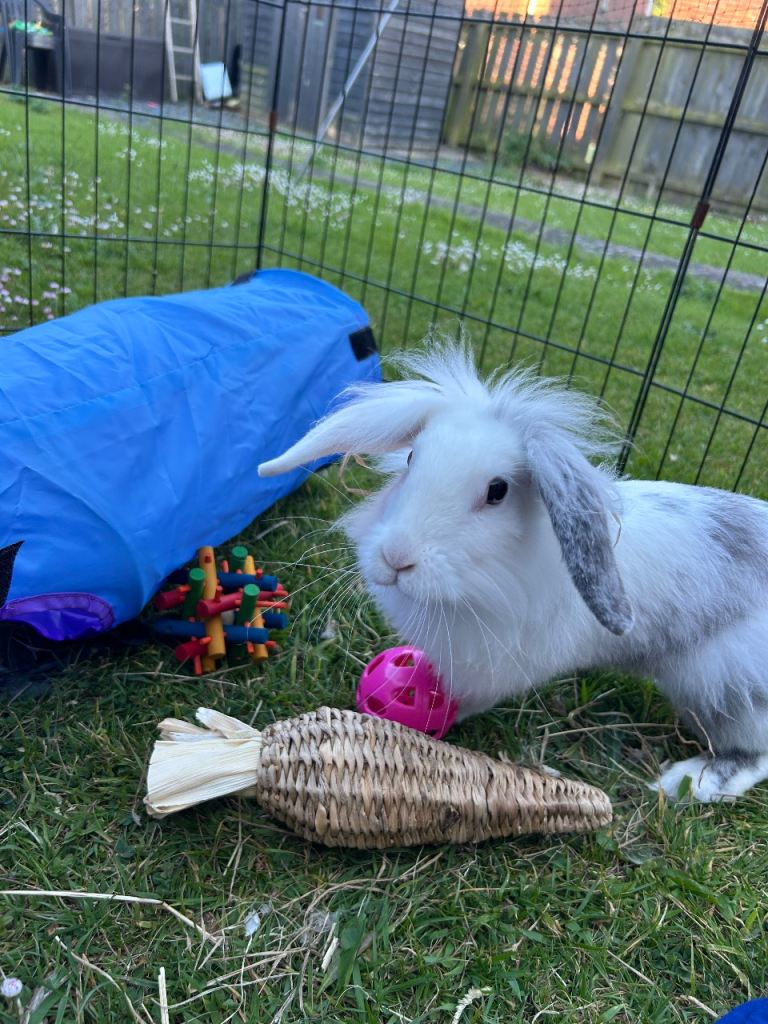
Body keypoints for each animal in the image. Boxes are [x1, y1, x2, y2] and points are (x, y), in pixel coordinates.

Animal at [259, 343, 768, 803]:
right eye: (410, 459)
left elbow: (466, 701)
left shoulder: (494, 668)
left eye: (498, 491)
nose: (395, 558)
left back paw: (690, 781)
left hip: (724, 685)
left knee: (754, 753)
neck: (489, 577)